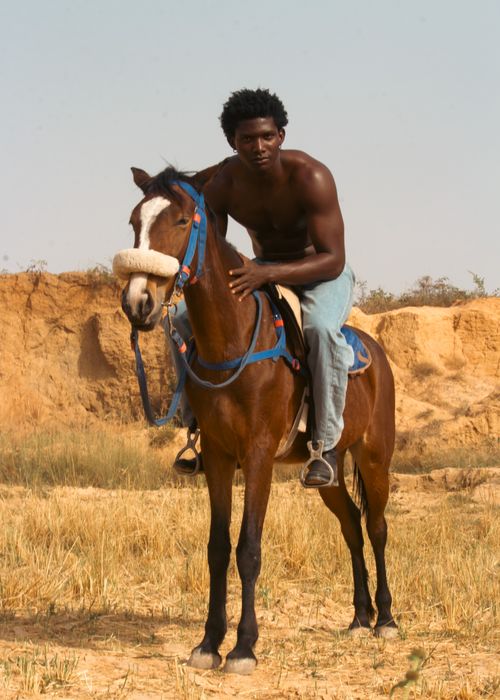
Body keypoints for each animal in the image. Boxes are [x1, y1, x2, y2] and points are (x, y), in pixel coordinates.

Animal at [116, 165, 398, 675]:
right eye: (134, 221)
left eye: (182, 220)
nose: (138, 302)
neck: (233, 336)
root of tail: (375, 351)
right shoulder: (219, 456)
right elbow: (217, 548)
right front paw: (209, 643)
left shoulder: (259, 455)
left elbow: (248, 548)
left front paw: (244, 647)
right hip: (326, 472)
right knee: (350, 524)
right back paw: (359, 617)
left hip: (374, 456)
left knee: (377, 527)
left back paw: (385, 618)